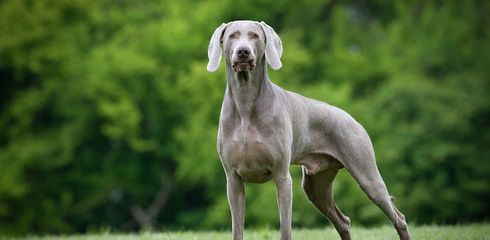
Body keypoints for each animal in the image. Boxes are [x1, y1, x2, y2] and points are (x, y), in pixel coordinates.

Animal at [207, 20, 410, 240]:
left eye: (255, 36)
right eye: (232, 36)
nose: (243, 51)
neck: (245, 103)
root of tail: (352, 119)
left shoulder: (282, 177)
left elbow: (286, 229)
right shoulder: (233, 180)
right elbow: (237, 228)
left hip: (366, 173)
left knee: (398, 217)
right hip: (316, 184)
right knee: (343, 221)